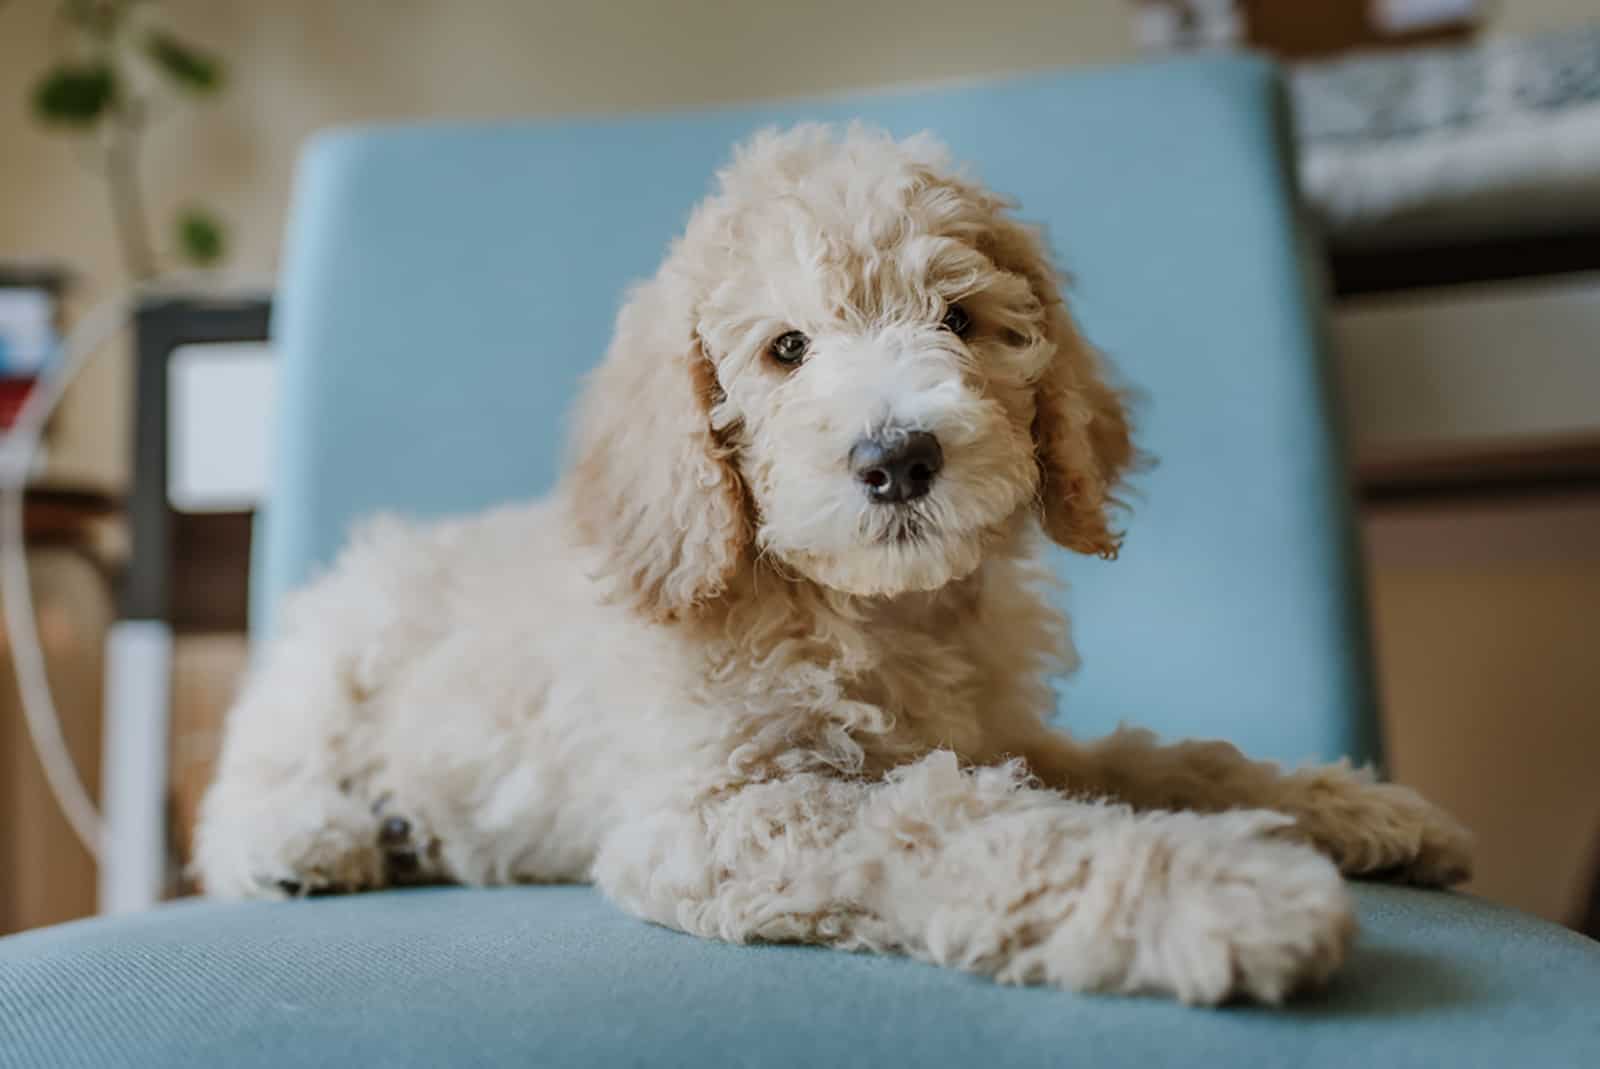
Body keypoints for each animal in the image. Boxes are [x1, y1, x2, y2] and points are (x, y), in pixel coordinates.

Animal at [200, 123, 1472, 1004]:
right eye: (784, 349)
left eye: (959, 321)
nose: (897, 455)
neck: (869, 610)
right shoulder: (726, 811)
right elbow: (962, 825)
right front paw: (1224, 891)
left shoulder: (1007, 732)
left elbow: (1156, 759)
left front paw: (1347, 805)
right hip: (332, 660)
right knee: (234, 799)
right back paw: (320, 838)